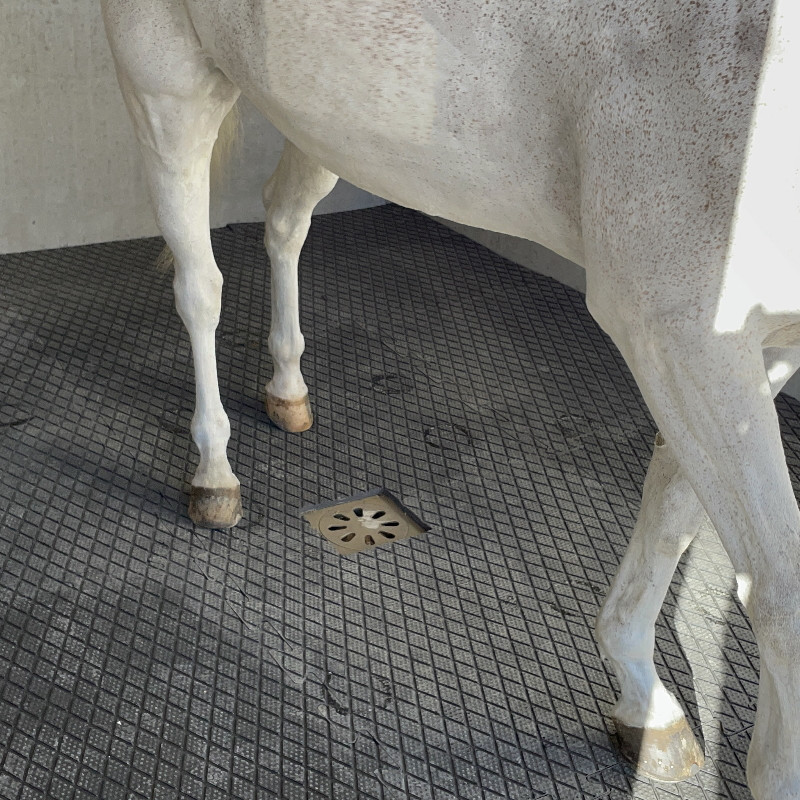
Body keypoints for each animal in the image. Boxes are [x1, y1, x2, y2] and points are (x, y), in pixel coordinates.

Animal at [100, 1, 800, 796]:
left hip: (321, 108)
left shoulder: (741, 348)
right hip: (169, 83)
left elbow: (674, 512)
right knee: (199, 286)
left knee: (284, 217)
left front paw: (644, 705)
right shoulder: (682, 331)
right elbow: (778, 595)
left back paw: (287, 389)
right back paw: (214, 474)